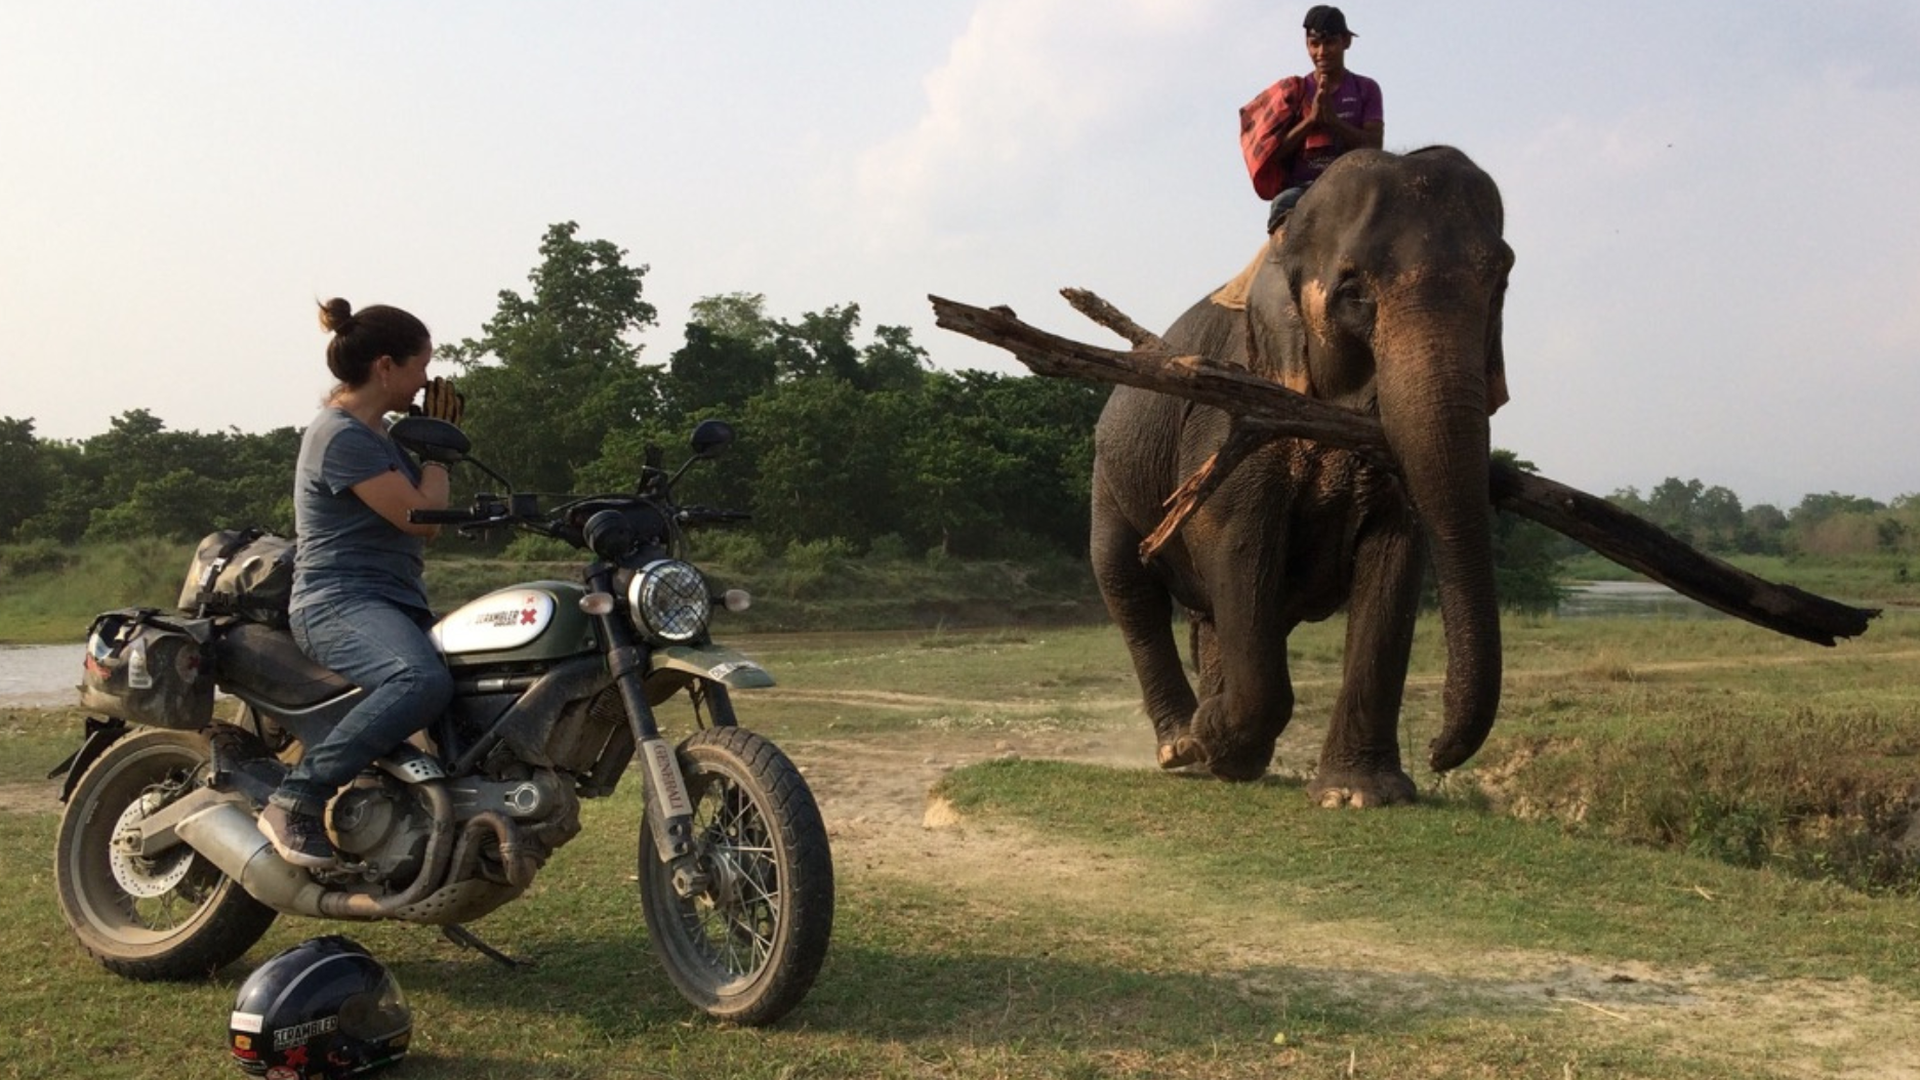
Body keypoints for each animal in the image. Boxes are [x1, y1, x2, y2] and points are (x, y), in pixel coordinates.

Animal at [1088, 145, 1512, 806]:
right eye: (1353, 293)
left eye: (1501, 284)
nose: (1439, 752)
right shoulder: (1232, 410)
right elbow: (1234, 540)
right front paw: (1216, 736)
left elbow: (1395, 554)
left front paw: (1360, 794)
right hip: (1109, 473)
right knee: (1127, 582)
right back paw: (1184, 745)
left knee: (1216, 615)